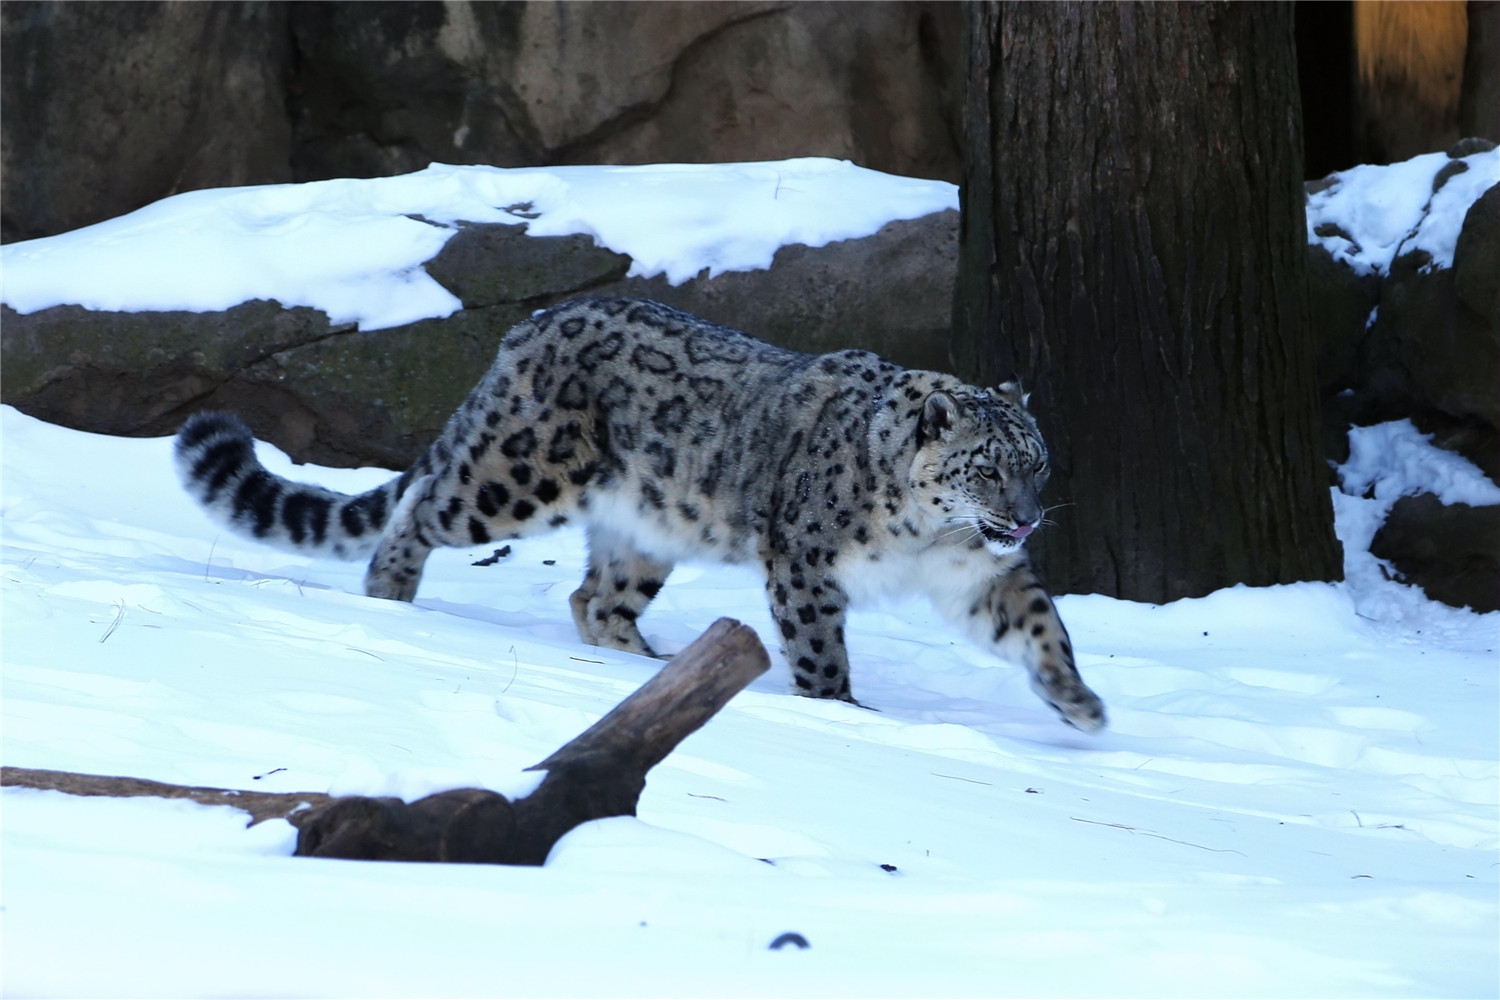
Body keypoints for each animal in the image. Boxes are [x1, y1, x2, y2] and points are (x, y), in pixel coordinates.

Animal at [175, 297, 1106, 732]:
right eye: (988, 469)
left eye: (1038, 465)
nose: (1027, 520)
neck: (928, 534)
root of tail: (532, 324)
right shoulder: (806, 565)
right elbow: (820, 650)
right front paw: (840, 709)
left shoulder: (976, 573)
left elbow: (1039, 621)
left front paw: (1079, 702)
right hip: (514, 477)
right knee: (423, 511)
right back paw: (392, 596)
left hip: (648, 531)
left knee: (594, 596)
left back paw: (647, 664)